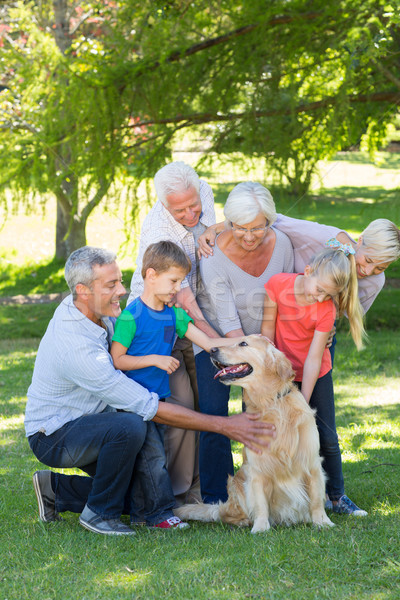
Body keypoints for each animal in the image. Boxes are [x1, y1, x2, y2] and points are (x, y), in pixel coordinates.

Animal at [175, 336, 334, 532]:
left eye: (243, 343)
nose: (212, 350)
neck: (270, 403)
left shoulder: (311, 463)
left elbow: (316, 498)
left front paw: (322, 522)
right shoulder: (256, 470)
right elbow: (260, 503)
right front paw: (260, 528)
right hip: (236, 487)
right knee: (226, 514)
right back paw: (243, 521)